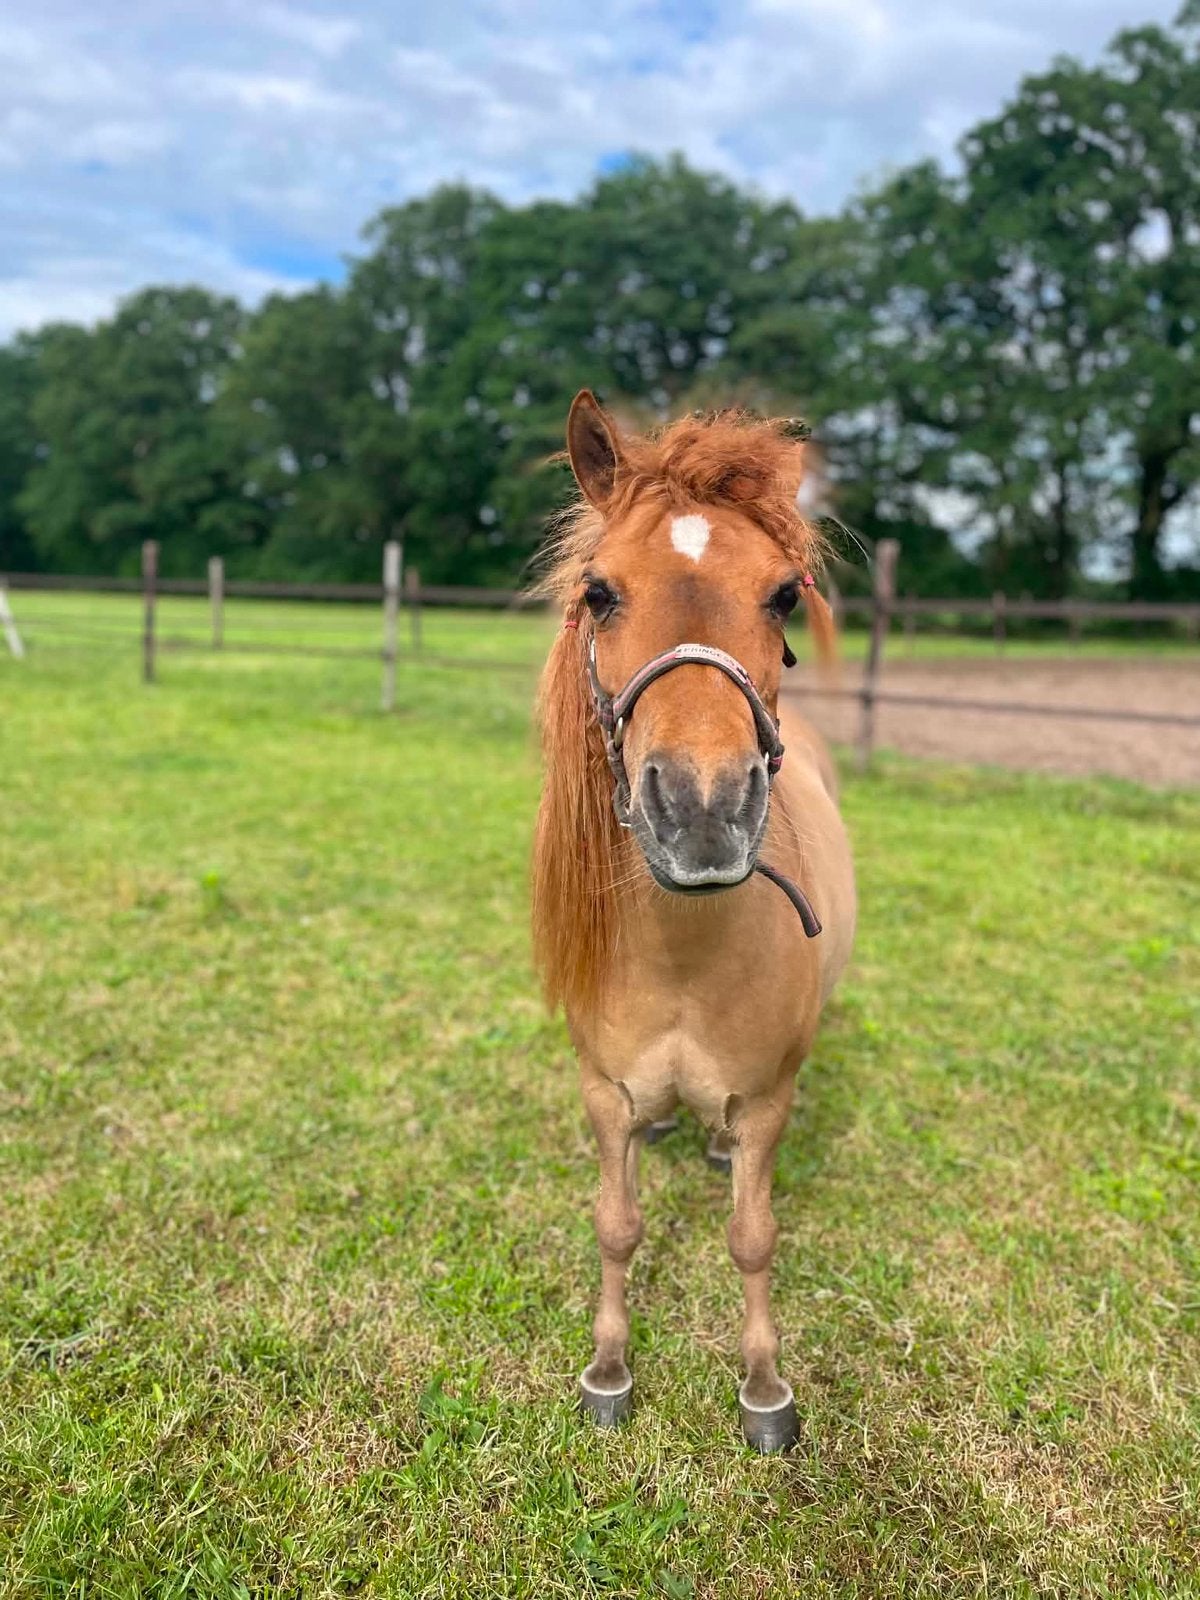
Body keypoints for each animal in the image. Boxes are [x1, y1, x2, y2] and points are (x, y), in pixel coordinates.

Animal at [532, 390, 856, 1452]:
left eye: (784, 597)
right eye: (599, 593)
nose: (705, 809)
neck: (683, 958)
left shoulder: (767, 1105)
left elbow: (753, 1237)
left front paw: (764, 1385)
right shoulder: (603, 1093)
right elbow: (615, 1224)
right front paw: (608, 1370)